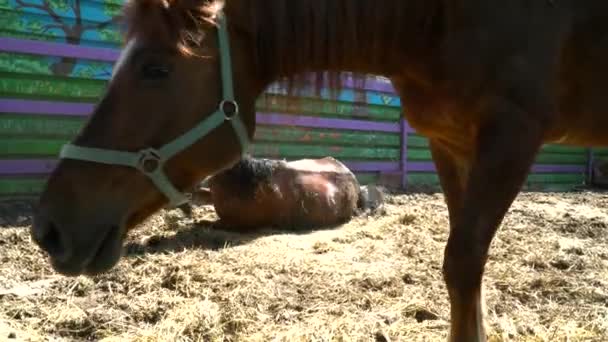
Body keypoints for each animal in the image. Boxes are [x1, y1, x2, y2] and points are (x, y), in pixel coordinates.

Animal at [30, 1, 608, 340]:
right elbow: (466, 273)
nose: (49, 229)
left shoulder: (511, 135)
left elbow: (463, 264)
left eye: (156, 68)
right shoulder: (450, 144)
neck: (437, 19)